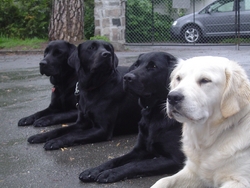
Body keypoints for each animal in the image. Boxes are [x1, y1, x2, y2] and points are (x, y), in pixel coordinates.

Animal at [79, 51, 185, 182]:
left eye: (153, 66)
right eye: (136, 64)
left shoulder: (174, 159)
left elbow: (137, 165)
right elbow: (115, 160)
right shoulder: (140, 150)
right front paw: (94, 170)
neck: (154, 114)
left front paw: (110, 173)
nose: (126, 77)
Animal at [151, 56, 250, 187]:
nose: (172, 97)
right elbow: (164, 180)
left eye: (205, 80)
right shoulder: (193, 171)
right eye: (179, 78)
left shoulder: (240, 181)